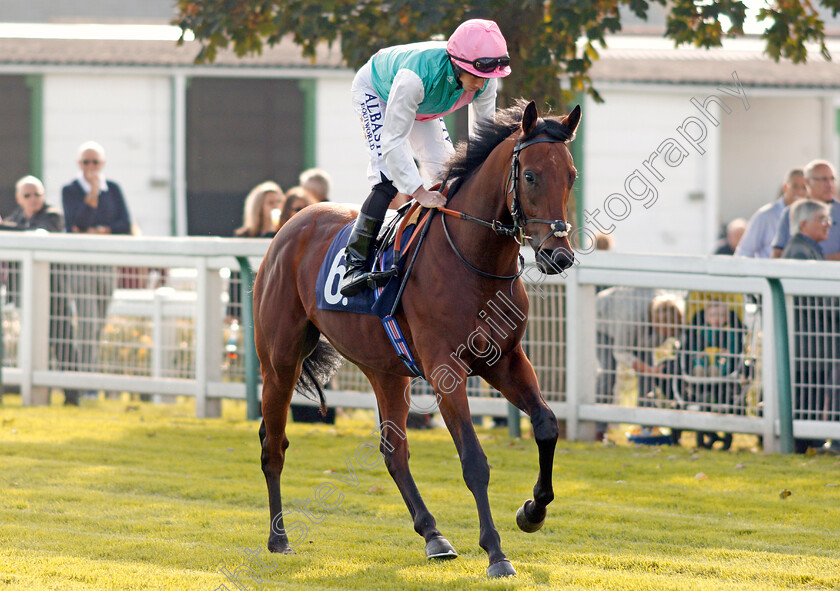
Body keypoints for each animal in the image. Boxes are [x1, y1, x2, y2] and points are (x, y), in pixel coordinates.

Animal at [256, 100, 580, 580]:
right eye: (531, 176)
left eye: (572, 174)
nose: (558, 255)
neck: (474, 258)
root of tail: (291, 224)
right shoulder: (446, 371)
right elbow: (473, 461)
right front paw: (496, 553)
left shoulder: (505, 360)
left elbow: (546, 425)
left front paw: (532, 511)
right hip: (280, 363)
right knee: (273, 446)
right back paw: (279, 538)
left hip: (386, 370)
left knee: (394, 452)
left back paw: (434, 535)